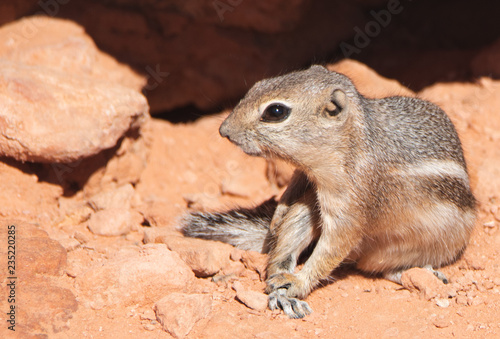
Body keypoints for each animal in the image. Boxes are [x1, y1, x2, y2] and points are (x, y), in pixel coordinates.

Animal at [181, 64, 476, 318]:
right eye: (257, 85)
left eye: (276, 111)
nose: (224, 130)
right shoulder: (308, 177)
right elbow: (291, 198)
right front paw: (277, 217)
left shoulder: (351, 204)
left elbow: (335, 245)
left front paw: (300, 283)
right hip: (312, 206)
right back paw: (279, 274)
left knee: (377, 268)